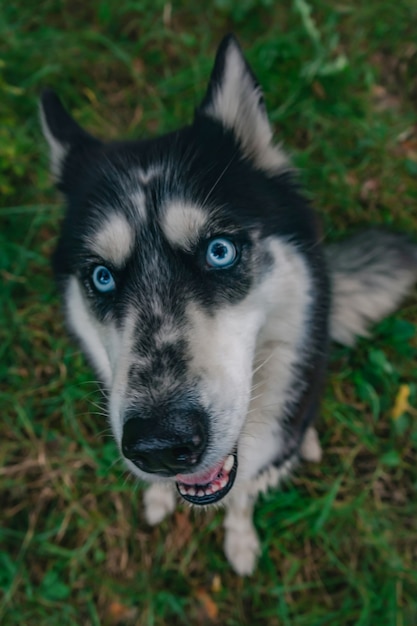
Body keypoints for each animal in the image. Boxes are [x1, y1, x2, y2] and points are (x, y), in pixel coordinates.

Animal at [39, 35, 416, 576]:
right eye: (101, 277)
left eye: (220, 251)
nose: (159, 446)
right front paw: (158, 496)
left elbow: (242, 497)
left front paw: (240, 540)